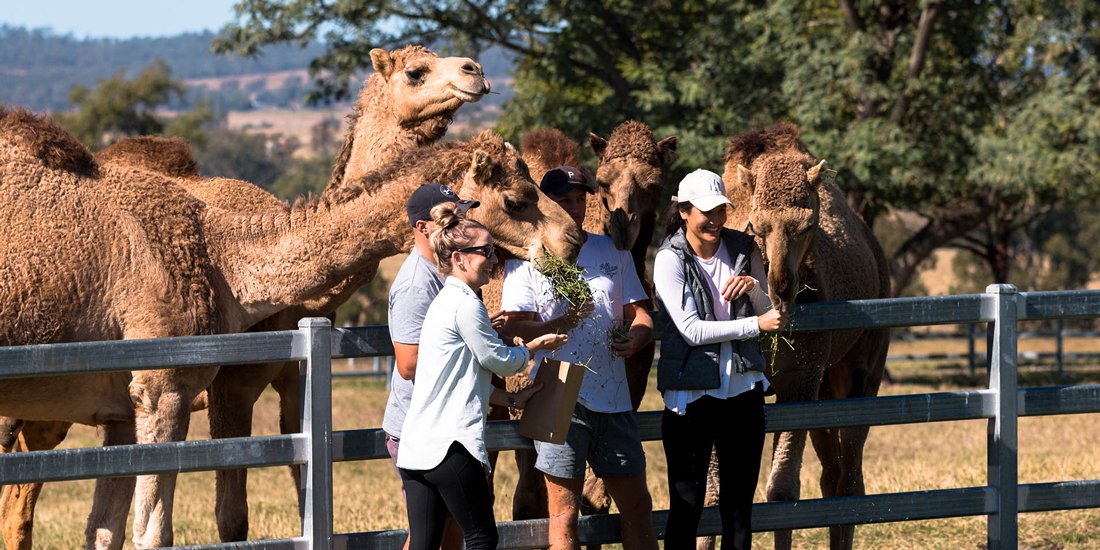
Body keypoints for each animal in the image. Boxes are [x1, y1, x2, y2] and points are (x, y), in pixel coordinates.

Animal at [0, 106, 585, 545]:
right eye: (517, 198)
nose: (573, 239)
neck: (222, 257)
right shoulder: (161, 388)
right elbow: (153, 533)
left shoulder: (120, 410)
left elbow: (105, 532)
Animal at [721, 124, 893, 550]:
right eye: (756, 226)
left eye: (808, 226)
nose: (782, 286)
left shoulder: (800, 377)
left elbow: (781, 490)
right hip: (826, 385)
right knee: (832, 475)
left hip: (863, 367)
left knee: (849, 477)